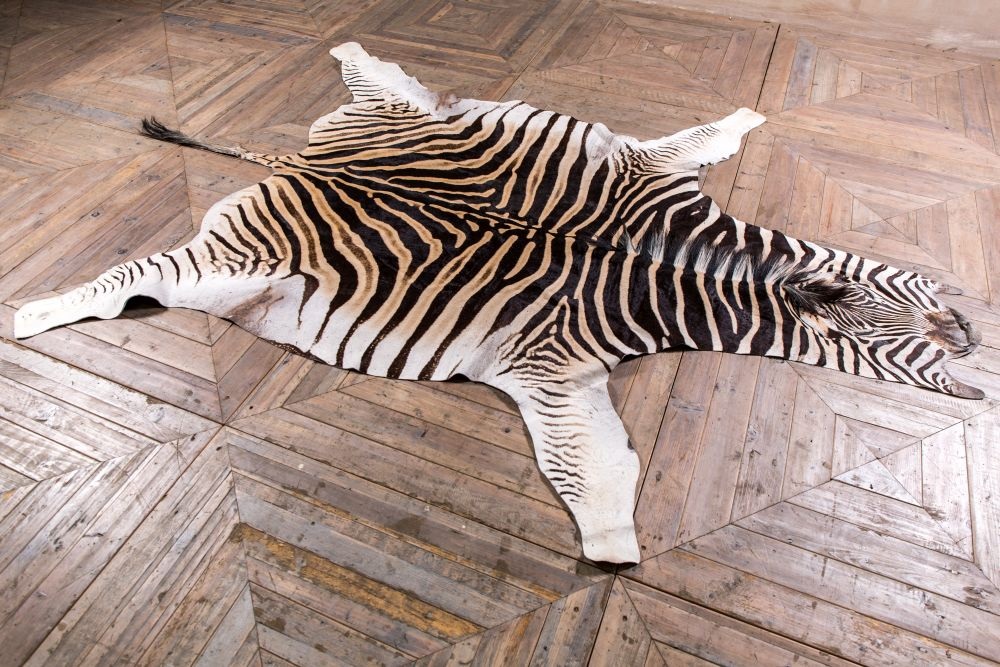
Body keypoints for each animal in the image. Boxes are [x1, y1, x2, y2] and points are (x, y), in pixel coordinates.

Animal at [13, 42, 981, 563]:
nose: (971, 336)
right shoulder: (551, 365)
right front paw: (614, 553)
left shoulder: (651, 175)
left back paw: (352, 51)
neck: (668, 263)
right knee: (126, 281)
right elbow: (590, 470)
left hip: (410, 116)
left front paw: (745, 116)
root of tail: (302, 166)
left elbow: (706, 133)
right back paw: (27, 315)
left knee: (385, 80)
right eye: (896, 343)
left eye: (920, 289)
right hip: (224, 266)